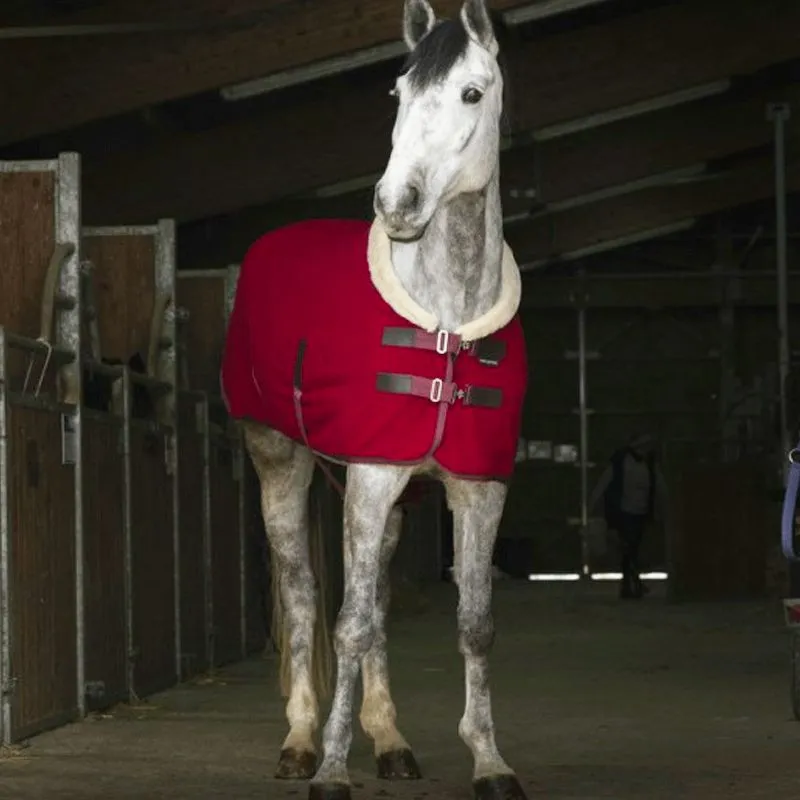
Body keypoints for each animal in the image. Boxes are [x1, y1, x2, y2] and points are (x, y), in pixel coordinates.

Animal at [220, 3, 532, 796]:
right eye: (398, 93)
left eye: (472, 93)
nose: (398, 205)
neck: (449, 320)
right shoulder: (370, 479)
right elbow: (348, 625)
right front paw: (331, 769)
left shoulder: (476, 487)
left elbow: (474, 623)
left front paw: (490, 761)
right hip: (283, 465)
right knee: (305, 593)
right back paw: (302, 741)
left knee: (379, 603)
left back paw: (390, 741)